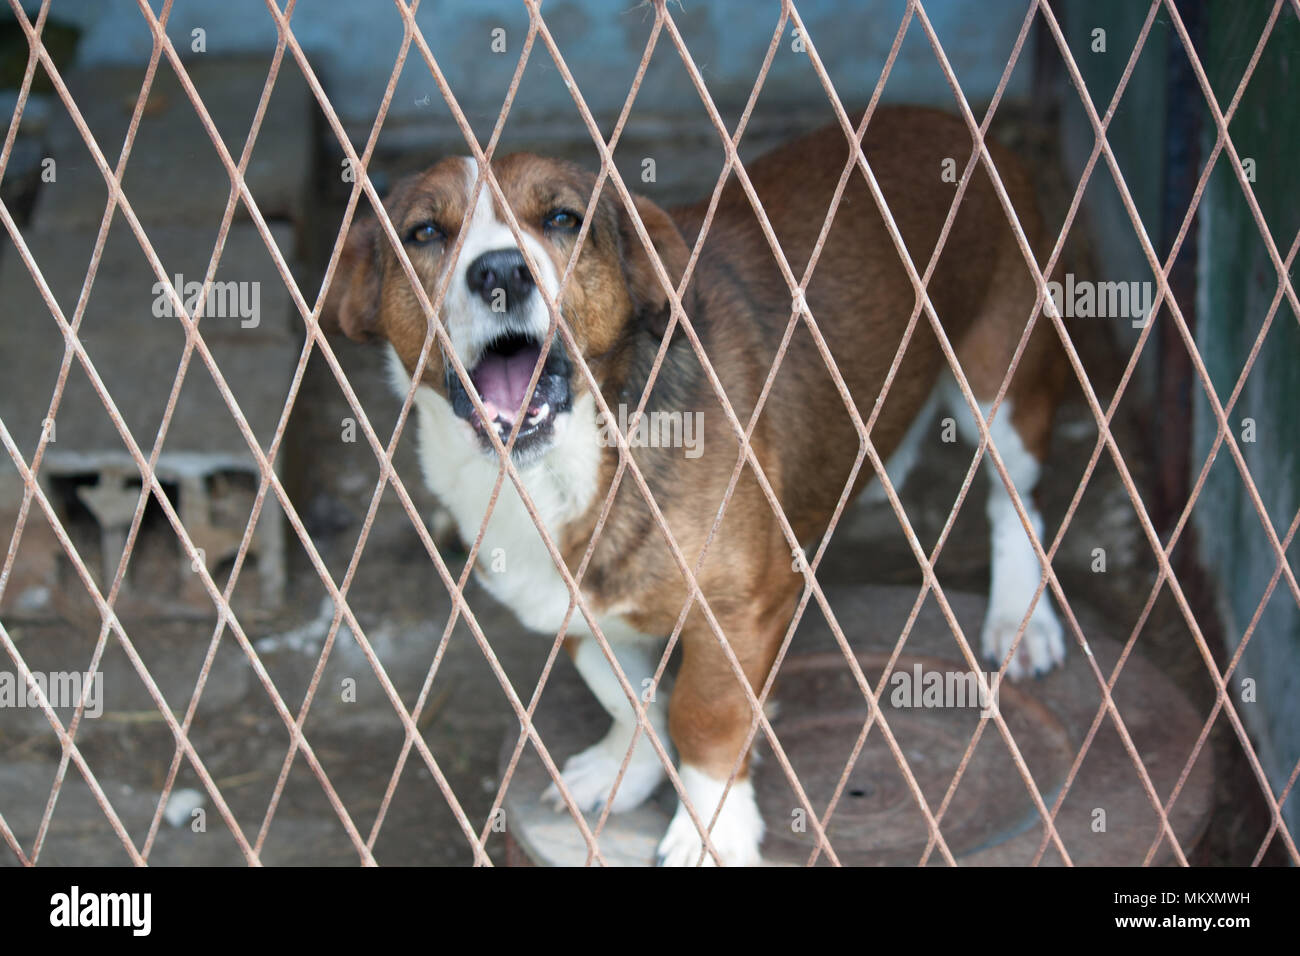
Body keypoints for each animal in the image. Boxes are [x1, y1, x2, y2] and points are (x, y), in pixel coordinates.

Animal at [325, 106, 1066, 868]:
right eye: (425, 233)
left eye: (562, 219)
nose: (501, 271)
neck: (567, 467)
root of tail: (951, 119)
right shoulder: (571, 613)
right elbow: (631, 699)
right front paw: (623, 769)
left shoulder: (739, 609)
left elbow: (703, 715)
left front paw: (711, 827)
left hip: (997, 391)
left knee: (1018, 505)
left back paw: (1022, 617)